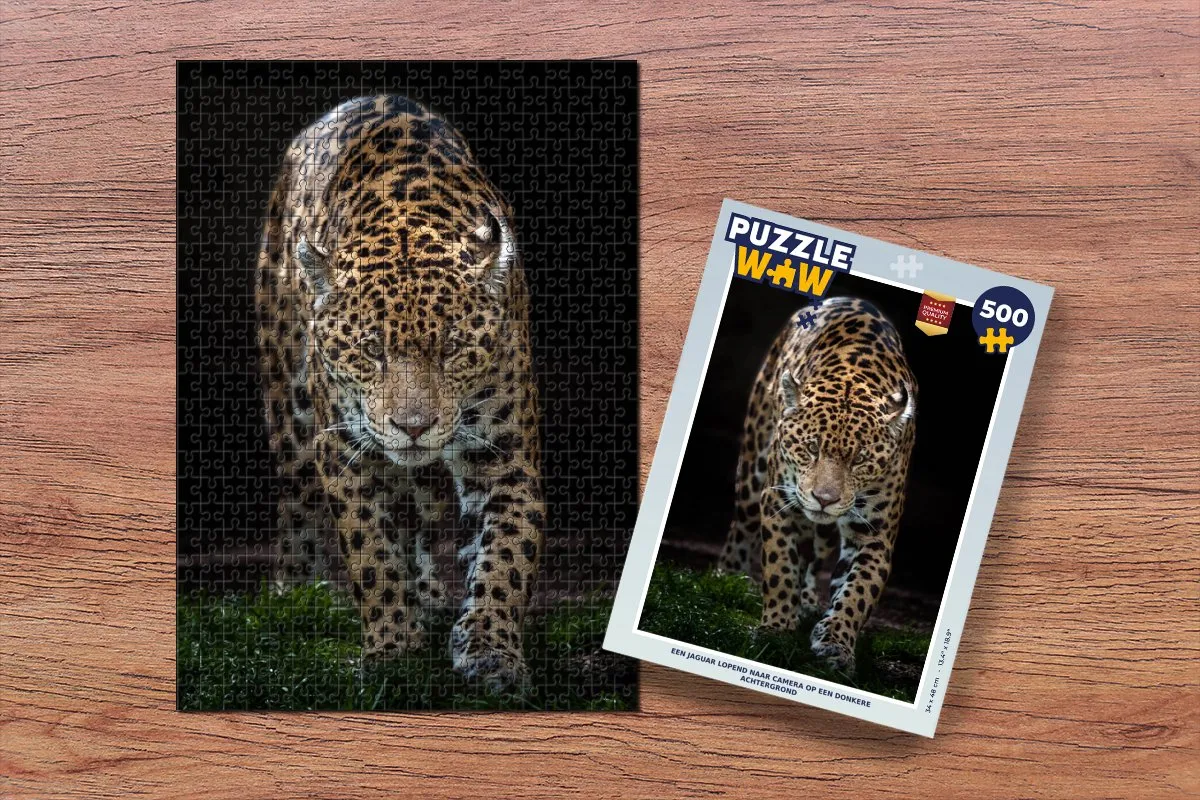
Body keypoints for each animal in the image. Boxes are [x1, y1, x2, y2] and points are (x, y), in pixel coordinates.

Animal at [256, 95, 545, 692]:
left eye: (453, 348)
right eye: (371, 350)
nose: (413, 427)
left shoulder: (505, 458)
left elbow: (505, 558)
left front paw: (491, 650)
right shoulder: (344, 453)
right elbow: (372, 554)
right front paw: (391, 647)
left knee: (424, 511)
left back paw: (430, 595)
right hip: (289, 411)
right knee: (296, 502)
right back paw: (295, 593)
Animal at [718, 296, 916, 674]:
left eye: (859, 460)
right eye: (811, 448)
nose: (824, 499)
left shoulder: (874, 535)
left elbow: (857, 593)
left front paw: (836, 643)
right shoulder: (778, 504)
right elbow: (780, 568)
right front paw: (776, 631)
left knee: (814, 554)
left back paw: (809, 600)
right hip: (752, 473)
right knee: (741, 527)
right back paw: (728, 578)